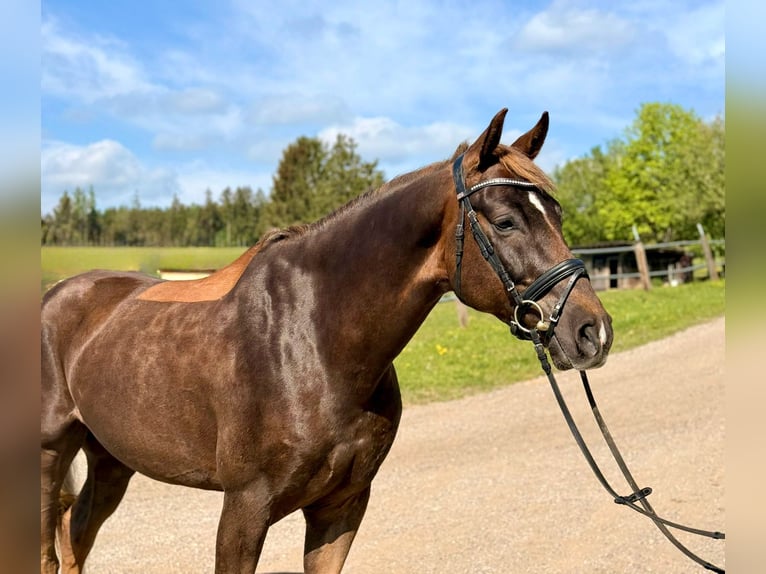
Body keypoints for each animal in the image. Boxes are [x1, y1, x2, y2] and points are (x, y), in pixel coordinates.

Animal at [41, 108, 613, 574]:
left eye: (558, 215)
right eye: (506, 221)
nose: (592, 331)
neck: (314, 342)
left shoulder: (342, 505)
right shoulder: (244, 510)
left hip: (112, 458)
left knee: (77, 534)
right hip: (51, 452)